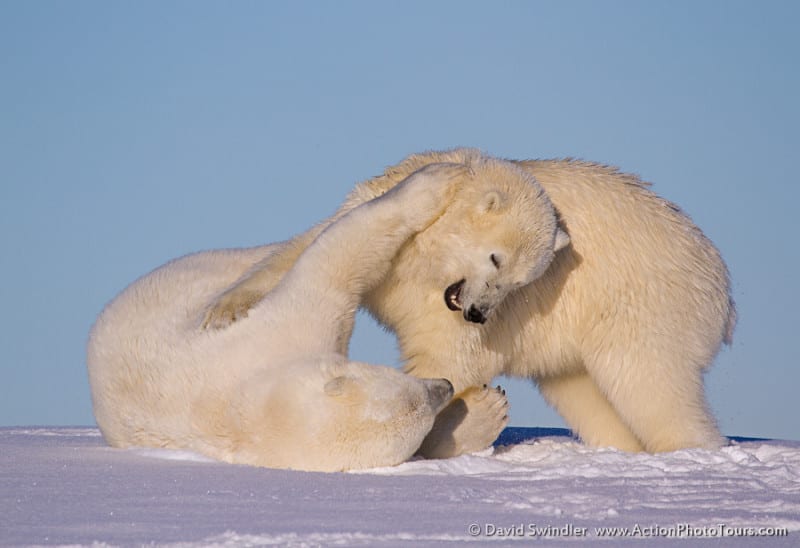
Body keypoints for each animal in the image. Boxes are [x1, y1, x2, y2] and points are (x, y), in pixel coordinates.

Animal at [86, 162, 476, 470]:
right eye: (419, 405)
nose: (444, 386)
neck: (241, 412)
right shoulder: (288, 328)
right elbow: (334, 263)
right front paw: (436, 180)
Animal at [205, 148, 736, 456]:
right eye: (496, 258)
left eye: (524, 279)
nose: (478, 311)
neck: (425, 267)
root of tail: (723, 292)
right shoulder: (382, 213)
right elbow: (314, 245)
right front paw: (224, 310)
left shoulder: (465, 318)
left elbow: (448, 358)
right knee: (587, 393)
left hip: (642, 304)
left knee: (651, 384)